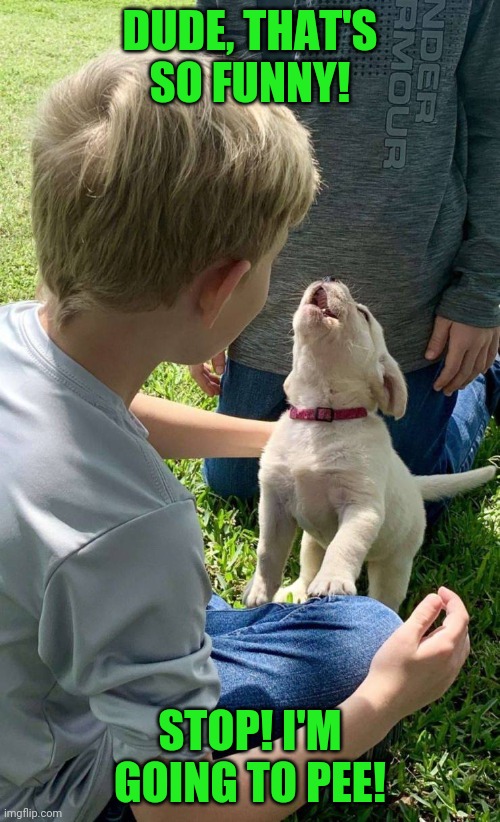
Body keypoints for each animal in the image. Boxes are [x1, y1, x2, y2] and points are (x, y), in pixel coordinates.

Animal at [243, 282, 496, 612]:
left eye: (363, 314)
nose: (329, 277)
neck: (322, 416)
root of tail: (414, 484)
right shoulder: (274, 503)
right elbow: (267, 552)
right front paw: (259, 591)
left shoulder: (361, 506)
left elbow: (344, 545)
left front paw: (333, 581)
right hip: (311, 543)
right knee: (308, 566)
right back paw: (296, 591)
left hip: (395, 563)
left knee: (384, 595)